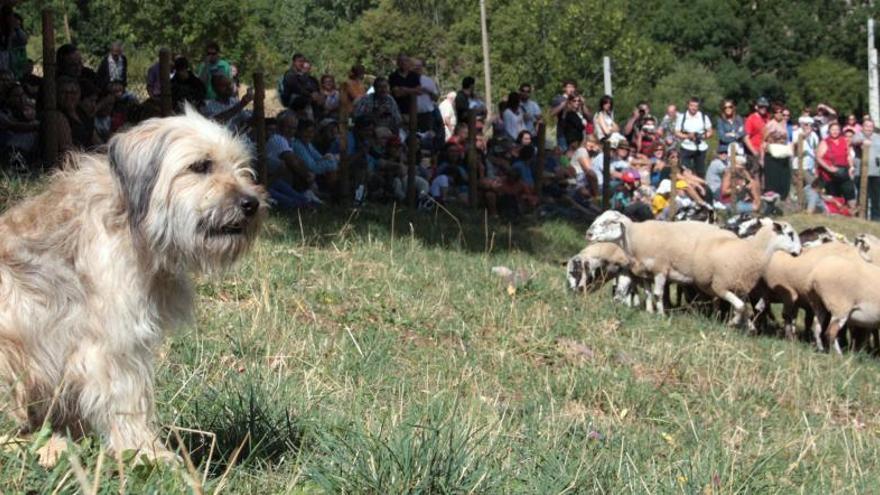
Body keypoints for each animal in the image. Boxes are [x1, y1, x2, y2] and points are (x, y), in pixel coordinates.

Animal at [0, 107, 264, 464]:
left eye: (242, 166)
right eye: (201, 166)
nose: (251, 203)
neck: (130, 222)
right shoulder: (113, 345)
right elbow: (127, 401)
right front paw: (149, 454)